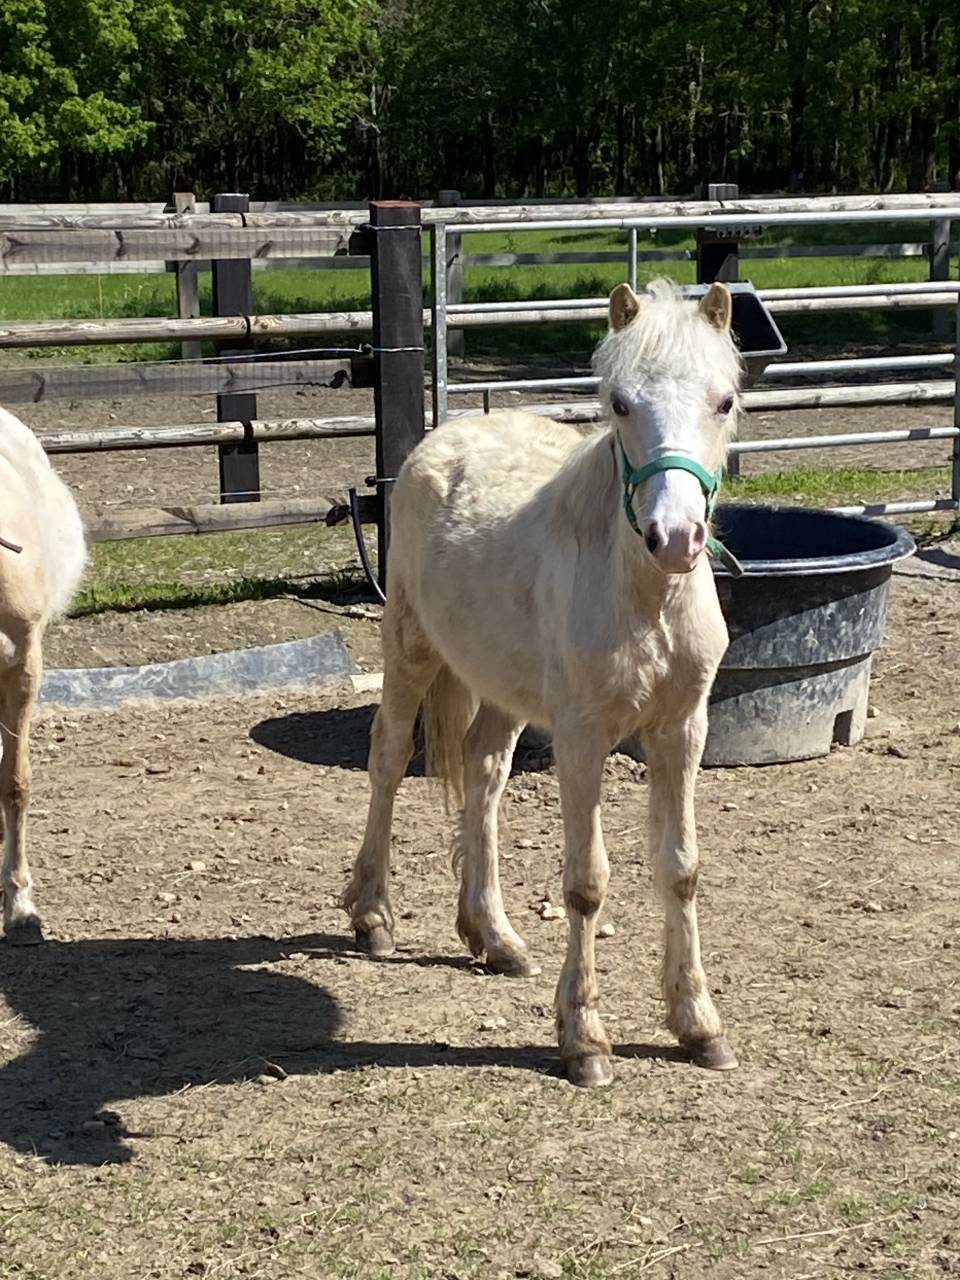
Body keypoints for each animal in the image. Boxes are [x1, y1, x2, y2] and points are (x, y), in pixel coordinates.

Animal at [344, 279, 741, 1086]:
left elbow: (680, 868)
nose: (676, 538)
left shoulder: (682, 727)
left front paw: (697, 1025)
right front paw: (584, 1039)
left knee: (484, 774)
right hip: (410, 647)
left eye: (724, 401)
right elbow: (587, 883)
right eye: (620, 402)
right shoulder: (584, 736)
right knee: (389, 760)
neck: (644, 596)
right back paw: (372, 917)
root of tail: (445, 439)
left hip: (502, 688)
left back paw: (492, 935)